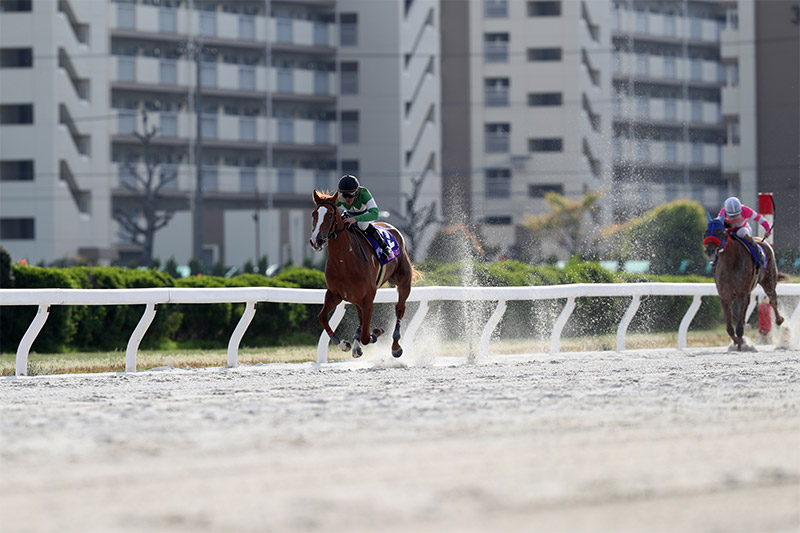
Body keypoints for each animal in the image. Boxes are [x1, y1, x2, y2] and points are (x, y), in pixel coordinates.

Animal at [308, 190, 416, 358]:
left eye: (330, 214)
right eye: (314, 214)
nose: (316, 241)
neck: (344, 260)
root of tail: (392, 228)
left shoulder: (368, 297)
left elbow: (367, 336)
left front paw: (375, 333)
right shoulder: (335, 294)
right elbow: (323, 317)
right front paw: (344, 344)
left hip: (403, 283)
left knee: (399, 309)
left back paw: (395, 346)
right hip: (355, 296)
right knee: (360, 318)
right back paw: (356, 344)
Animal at [704, 214, 784, 348]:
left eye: (720, 232)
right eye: (706, 232)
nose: (710, 251)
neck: (729, 263)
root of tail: (763, 242)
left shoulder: (741, 293)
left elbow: (739, 325)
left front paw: (741, 343)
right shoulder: (724, 295)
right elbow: (729, 327)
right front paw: (737, 341)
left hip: (769, 281)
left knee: (773, 299)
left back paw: (779, 319)